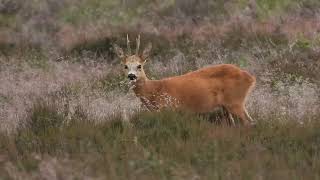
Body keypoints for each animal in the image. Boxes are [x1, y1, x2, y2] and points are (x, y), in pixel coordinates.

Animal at [114, 34, 256, 125]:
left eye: (139, 65)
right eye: (125, 66)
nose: (131, 76)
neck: (154, 90)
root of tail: (251, 78)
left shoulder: (169, 109)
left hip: (235, 101)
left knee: (249, 122)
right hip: (227, 106)